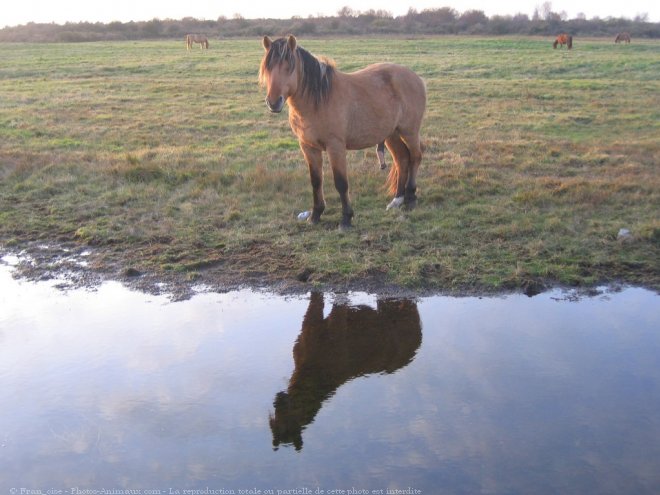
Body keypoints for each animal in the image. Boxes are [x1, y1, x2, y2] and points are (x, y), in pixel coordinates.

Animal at [258, 35, 428, 230]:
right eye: (268, 68)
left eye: (289, 67)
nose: (273, 102)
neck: (318, 100)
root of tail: (416, 78)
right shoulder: (308, 147)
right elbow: (316, 181)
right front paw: (315, 215)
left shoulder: (335, 146)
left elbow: (341, 182)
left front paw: (346, 218)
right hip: (391, 134)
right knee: (402, 160)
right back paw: (397, 200)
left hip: (409, 131)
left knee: (415, 157)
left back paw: (411, 198)